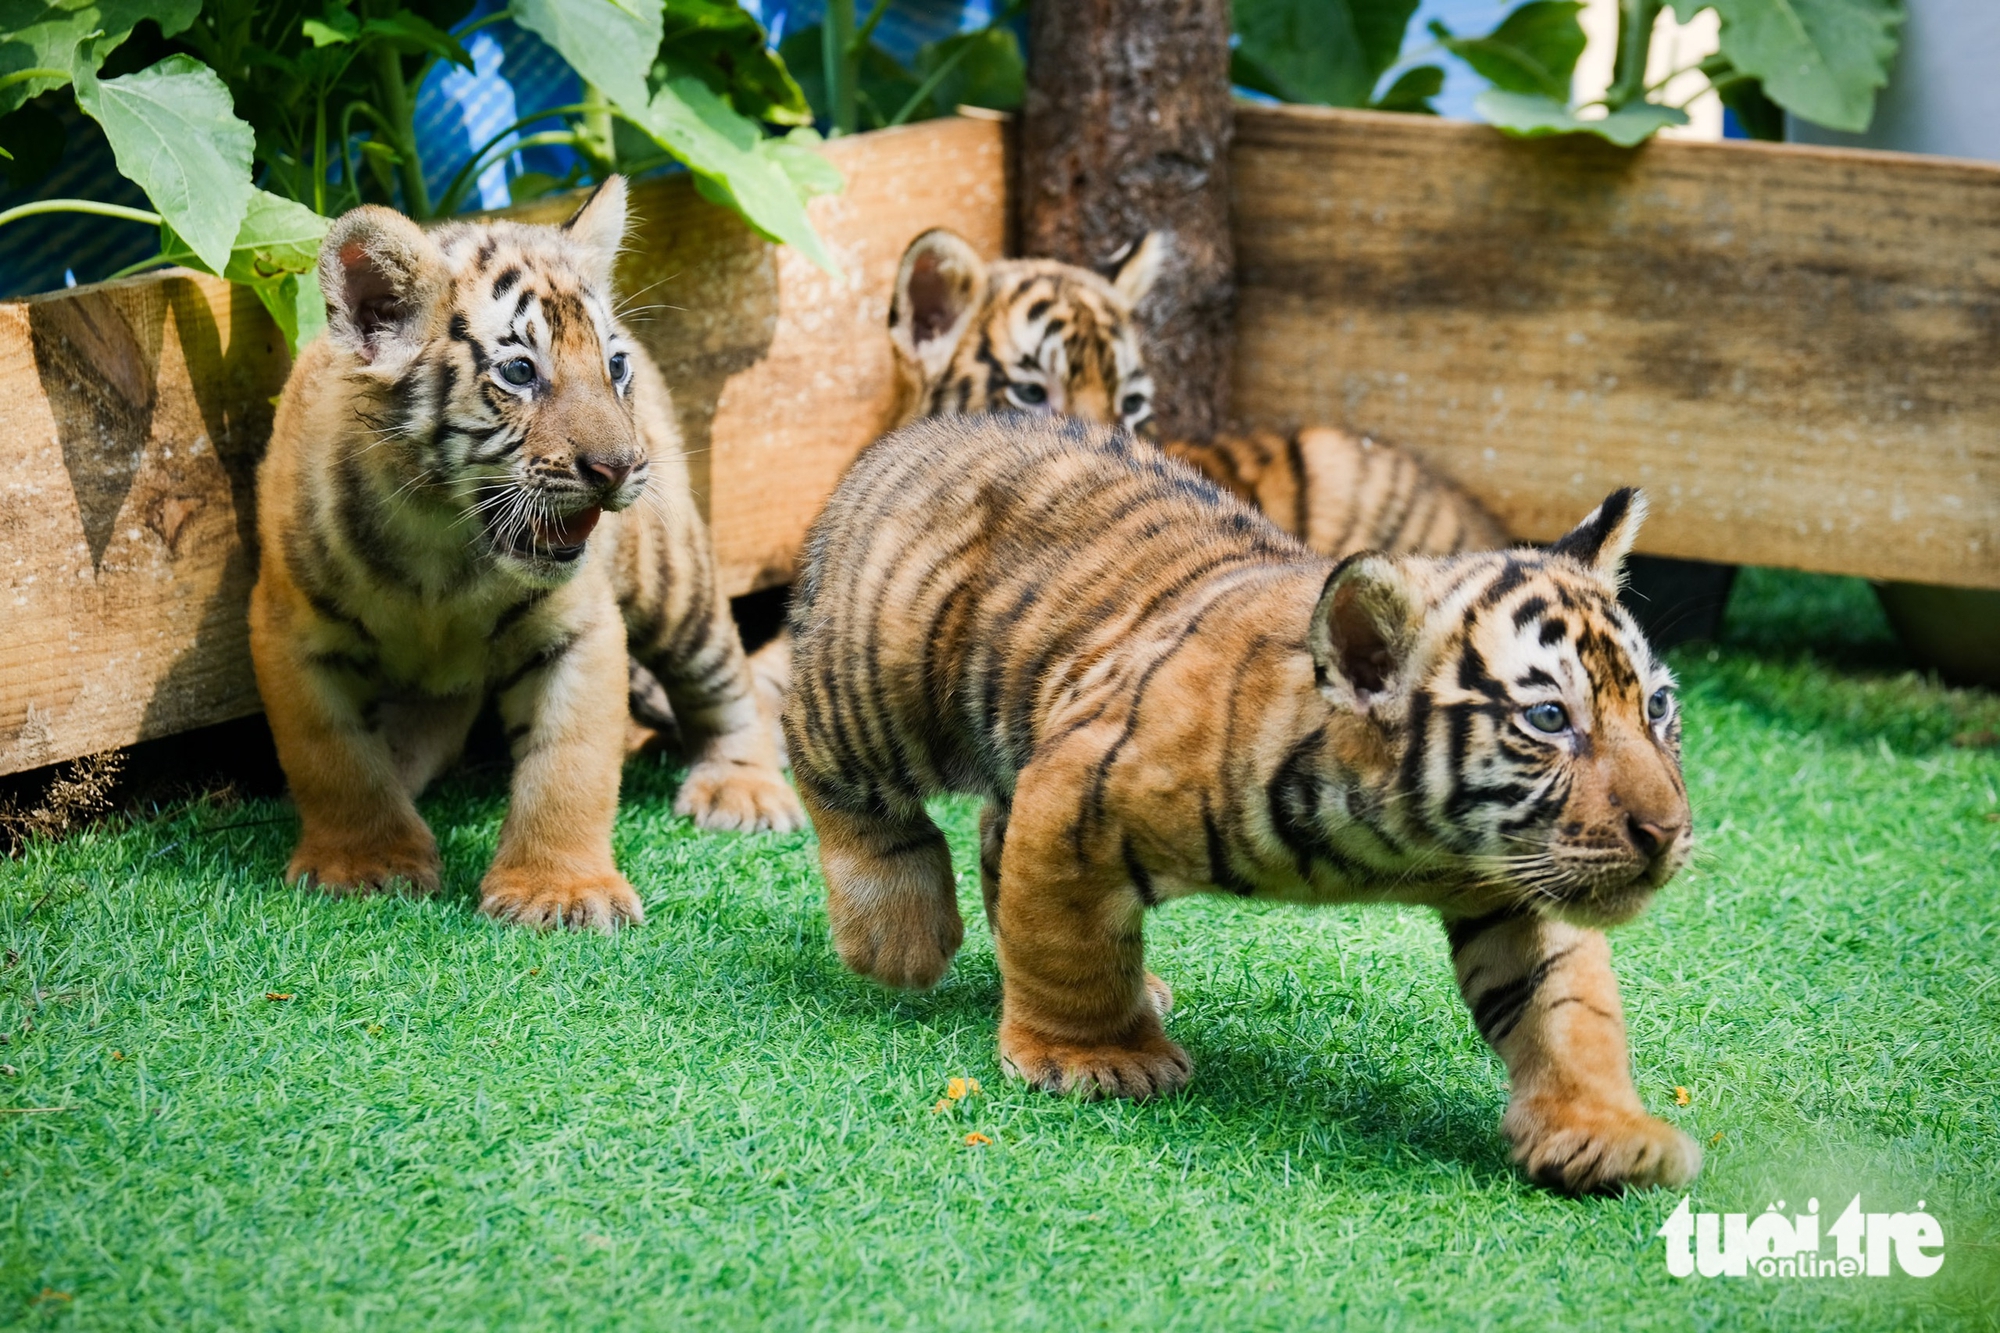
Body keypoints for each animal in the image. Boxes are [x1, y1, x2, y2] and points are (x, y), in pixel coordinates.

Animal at [248, 177, 803, 932]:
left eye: (613, 366)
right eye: (519, 371)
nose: (621, 466)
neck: (442, 541)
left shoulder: (580, 628)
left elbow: (567, 764)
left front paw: (560, 891)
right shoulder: (289, 630)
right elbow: (333, 757)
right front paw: (367, 864)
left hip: (673, 578)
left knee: (725, 680)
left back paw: (742, 789)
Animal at [784, 414, 1699, 1194]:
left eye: (1656, 706)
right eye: (1549, 719)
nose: (1666, 832)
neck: (1402, 842)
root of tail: (928, 428)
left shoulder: (1517, 882)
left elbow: (1567, 1009)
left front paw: (1603, 1133)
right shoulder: (1077, 791)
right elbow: (1069, 946)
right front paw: (1098, 1061)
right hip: (877, 687)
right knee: (825, 761)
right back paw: (897, 934)